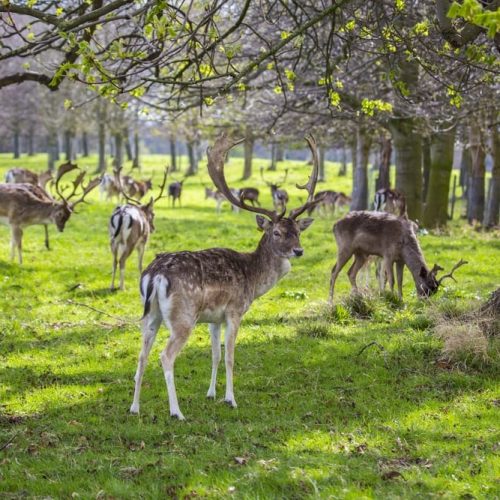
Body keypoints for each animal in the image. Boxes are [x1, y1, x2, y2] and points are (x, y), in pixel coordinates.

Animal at [129, 132, 322, 418]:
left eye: (298, 231)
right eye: (276, 232)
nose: (298, 250)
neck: (253, 278)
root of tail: (155, 275)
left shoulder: (213, 318)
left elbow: (215, 355)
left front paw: (211, 394)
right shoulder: (234, 310)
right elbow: (230, 356)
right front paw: (230, 399)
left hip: (150, 314)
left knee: (142, 354)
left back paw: (134, 407)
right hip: (183, 316)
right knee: (165, 355)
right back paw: (177, 412)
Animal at [328, 210, 464, 300]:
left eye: (435, 290)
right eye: (426, 287)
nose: (424, 301)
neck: (404, 243)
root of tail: (334, 225)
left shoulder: (400, 261)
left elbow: (399, 280)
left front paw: (401, 299)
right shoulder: (387, 255)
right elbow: (391, 279)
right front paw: (390, 299)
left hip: (361, 254)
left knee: (351, 272)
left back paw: (357, 296)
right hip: (345, 247)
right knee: (334, 271)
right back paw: (331, 301)